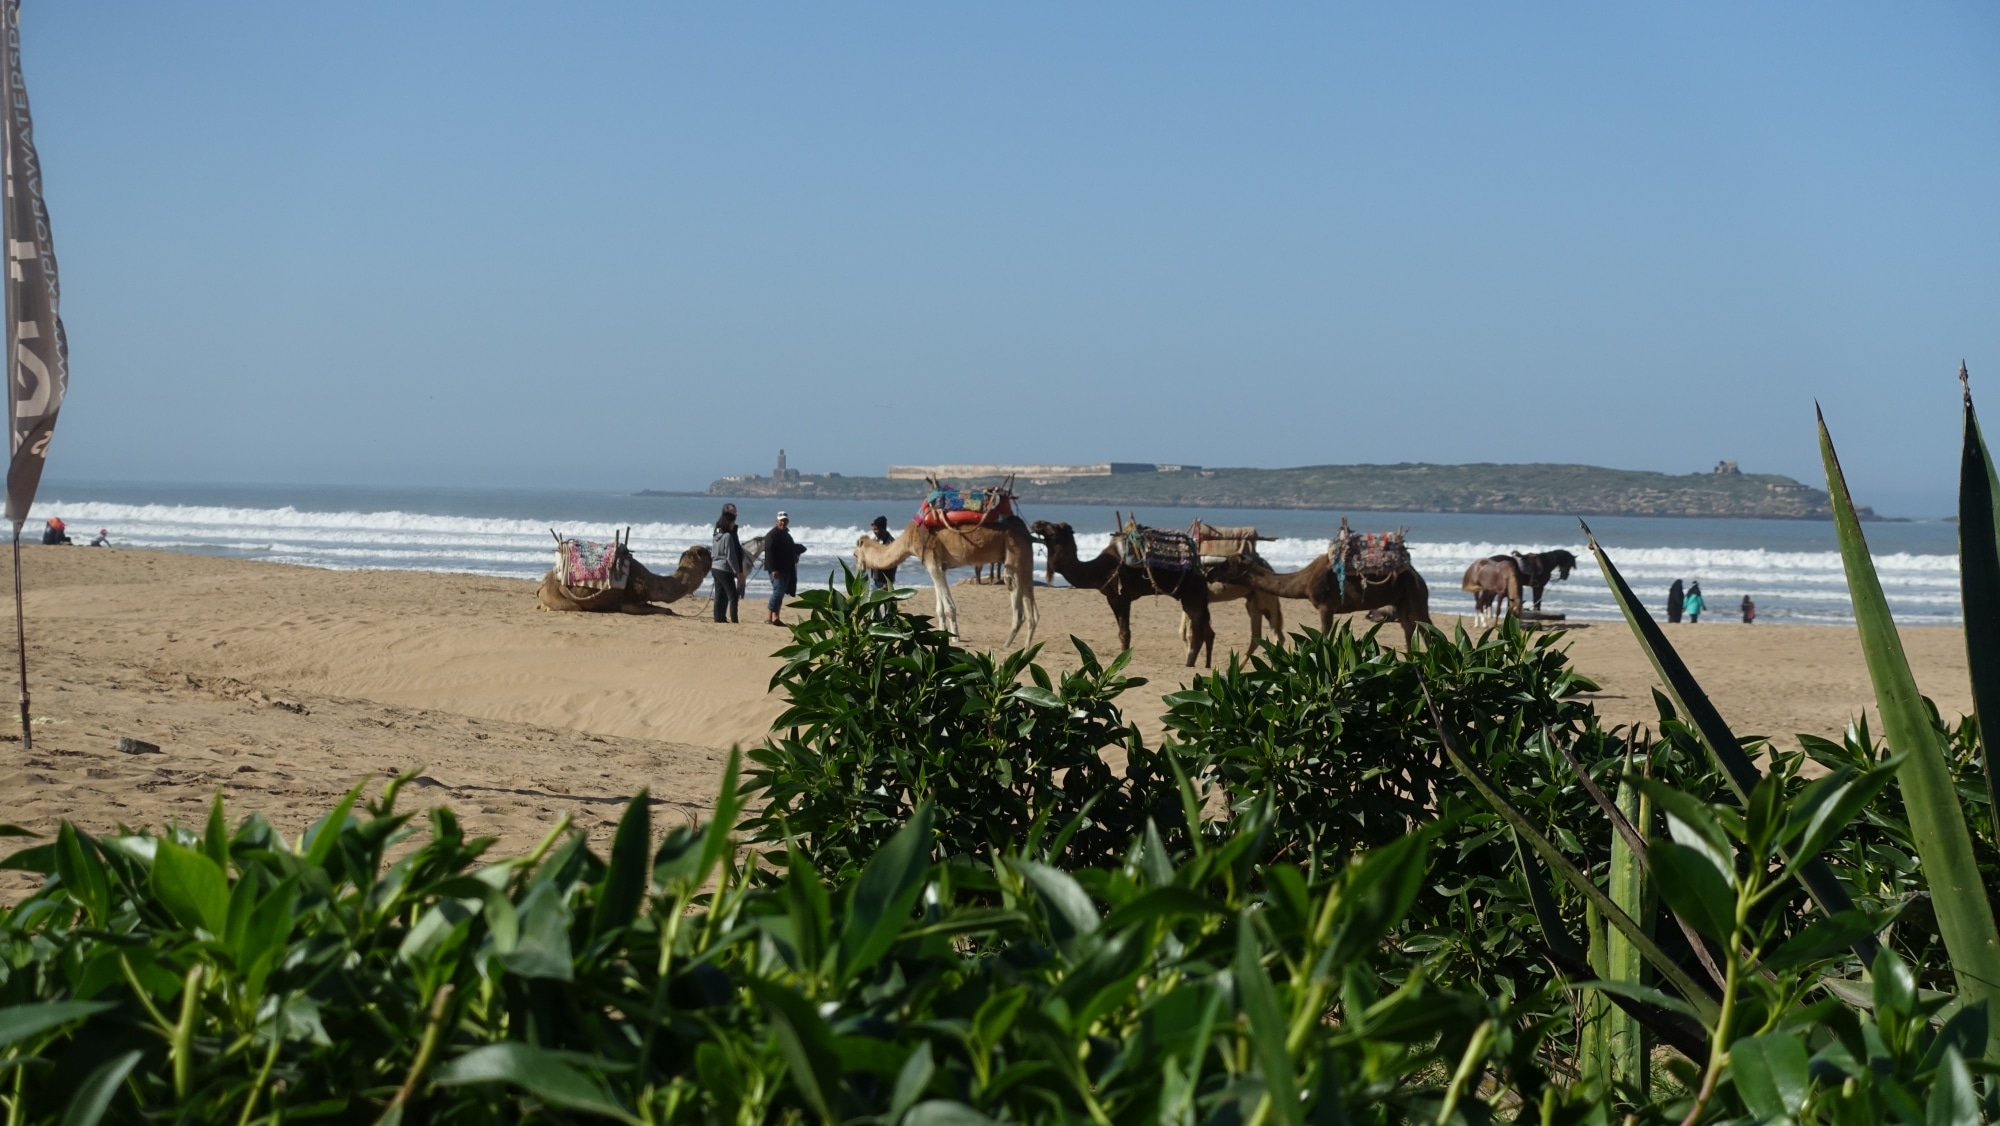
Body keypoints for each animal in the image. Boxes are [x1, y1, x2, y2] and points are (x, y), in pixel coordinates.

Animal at [538, 545, 712, 613]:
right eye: (704, 552)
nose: (711, 550)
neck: (653, 583)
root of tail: (542, 584)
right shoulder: (628, 604)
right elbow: (667, 610)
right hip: (555, 594)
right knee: (574, 607)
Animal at [853, 518, 1039, 646]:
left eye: (855, 554)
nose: (858, 568)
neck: (909, 540)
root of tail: (1024, 529)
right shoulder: (938, 565)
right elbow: (939, 607)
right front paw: (942, 633)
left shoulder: (932, 562)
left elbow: (949, 607)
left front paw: (955, 638)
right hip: (1025, 555)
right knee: (1029, 593)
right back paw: (1027, 645)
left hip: (1013, 550)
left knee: (1013, 586)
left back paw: (1008, 643)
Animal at [1031, 520, 1216, 668]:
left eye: (1054, 527)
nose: (1036, 523)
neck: (1099, 569)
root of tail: (1201, 572)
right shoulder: (1111, 598)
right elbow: (1121, 633)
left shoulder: (1123, 596)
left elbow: (1125, 632)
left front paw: (1124, 660)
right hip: (1197, 597)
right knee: (1208, 632)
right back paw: (1207, 666)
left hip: (1192, 593)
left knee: (1197, 631)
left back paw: (1189, 664)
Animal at [1215, 551, 1433, 647]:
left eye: (1226, 564)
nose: (1210, 573)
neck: (1305, 581)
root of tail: (1418, 577)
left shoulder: (1325, 606)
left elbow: (1325, 635)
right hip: (1402, 601)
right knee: (1409, 630)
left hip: (1415, 596)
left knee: (1427, 630)